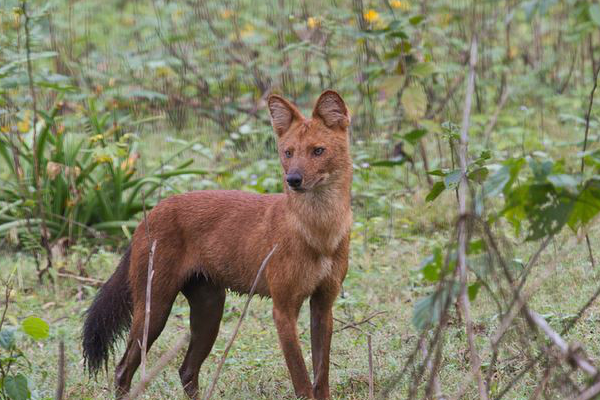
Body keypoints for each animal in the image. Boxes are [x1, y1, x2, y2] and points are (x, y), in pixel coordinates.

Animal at [80, 90, 352, 400]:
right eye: (288, 152)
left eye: (318, 151)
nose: (293, 179)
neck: (319, 232)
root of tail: (149, 215)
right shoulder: (283, 309)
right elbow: (302, 380)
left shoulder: (323, 305)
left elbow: (321, 377)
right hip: (155, 308)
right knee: (123, 368)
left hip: (210, 308)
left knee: (186, 369)